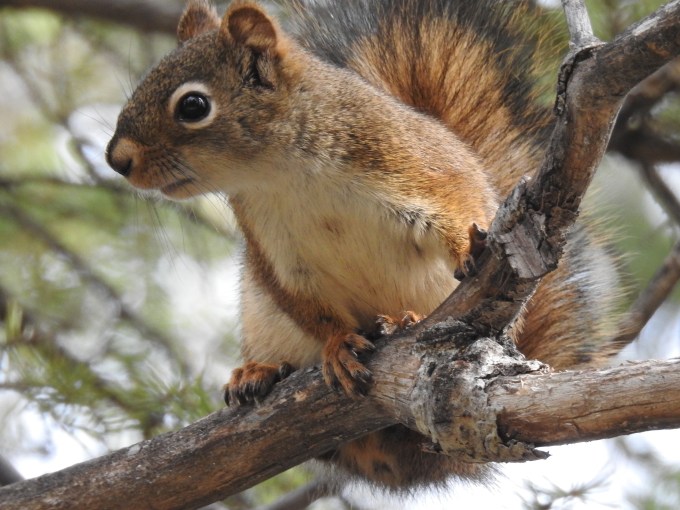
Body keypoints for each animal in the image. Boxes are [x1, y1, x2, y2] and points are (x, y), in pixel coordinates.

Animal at [106, 0, 622, 491]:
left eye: (193, 105)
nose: (116, 160)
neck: (280, 171)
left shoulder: (414, 161)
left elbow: (458, 203)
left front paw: (467, 249)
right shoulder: (275, 252)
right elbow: (304, 305)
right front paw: (337, 346)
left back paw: (402, 320)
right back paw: (257, 373)